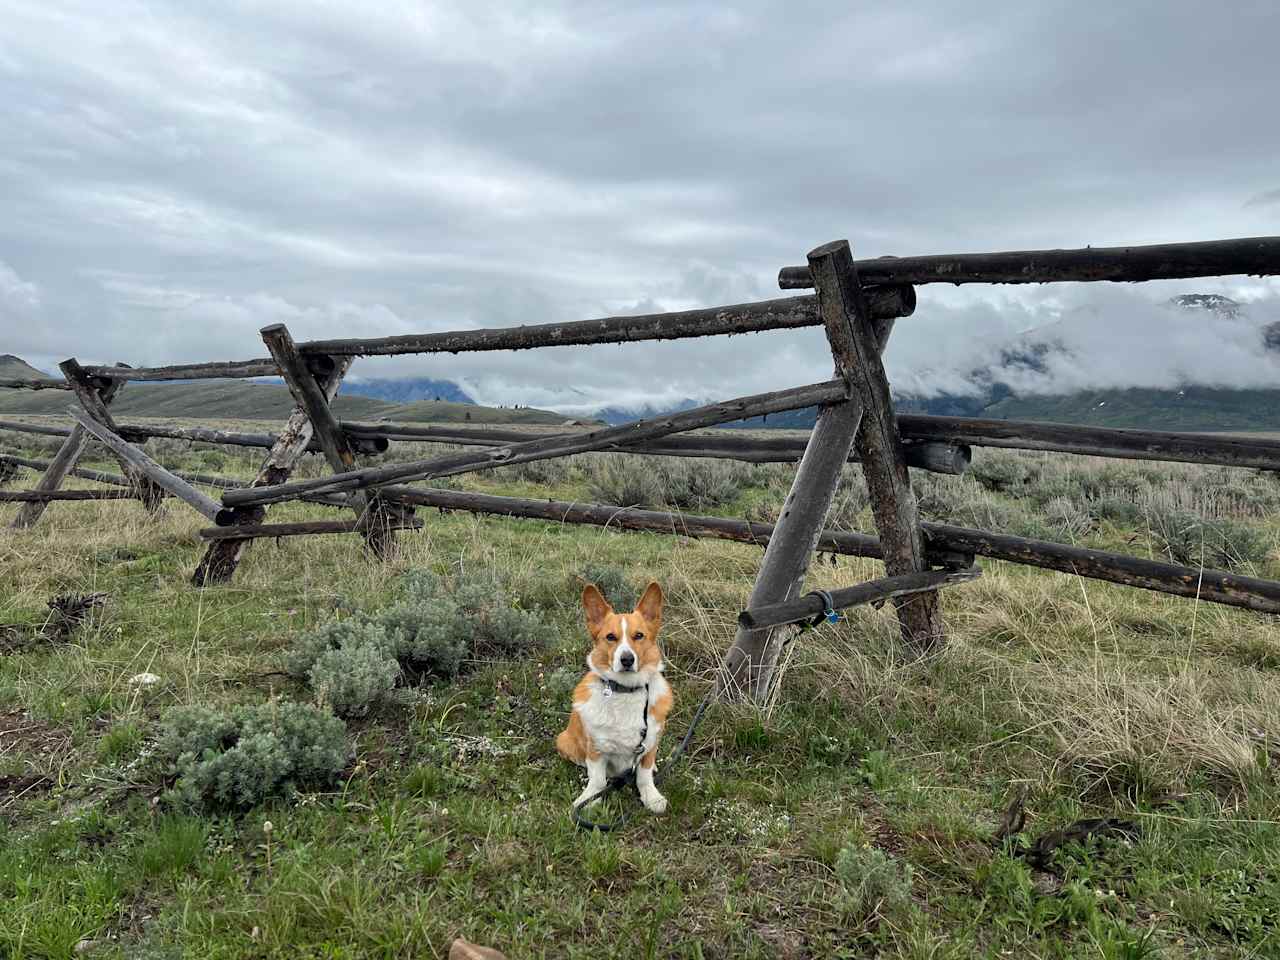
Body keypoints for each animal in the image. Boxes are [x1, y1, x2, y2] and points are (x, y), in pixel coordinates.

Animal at [558, 583, 675, 814]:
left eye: (639, 635)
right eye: (610, 637)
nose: (627, 659)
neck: (626, 691)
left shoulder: (648, 744)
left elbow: (644, 775)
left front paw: (652, 797)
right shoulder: (595, 748)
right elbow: (597, 779)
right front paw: (589, 799)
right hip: (564, 740)